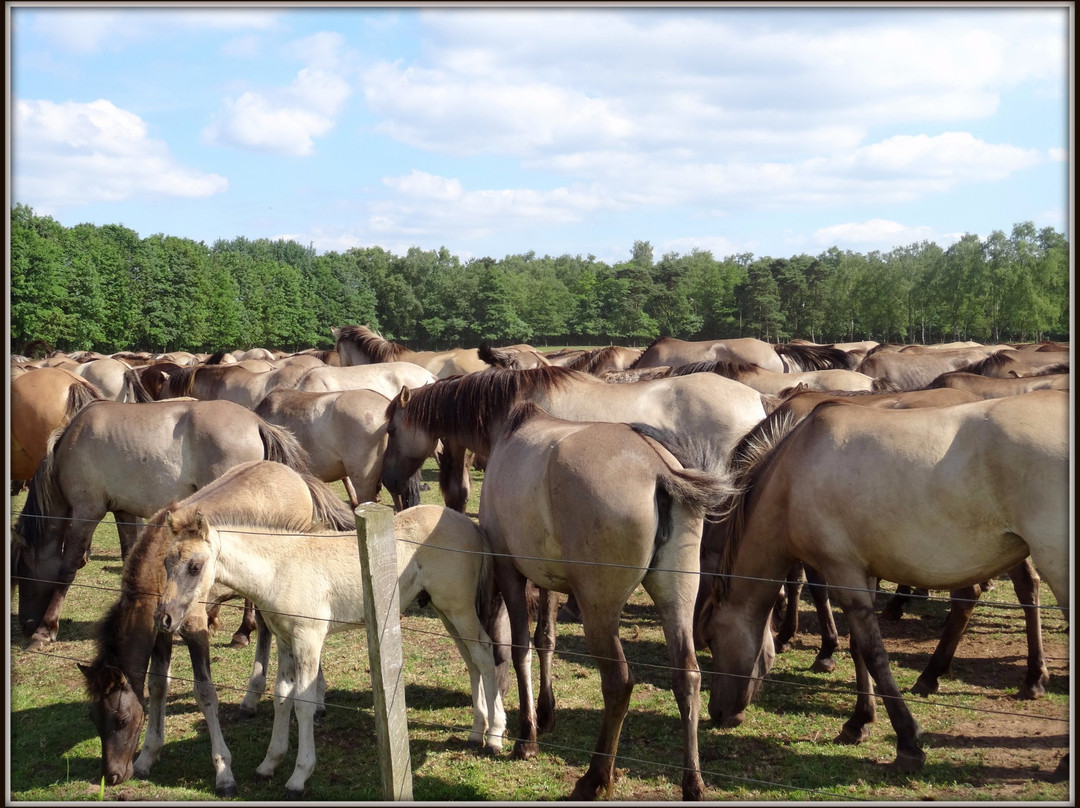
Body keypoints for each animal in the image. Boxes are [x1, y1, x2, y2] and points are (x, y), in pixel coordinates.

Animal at [11, 397, 313, 648]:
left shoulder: (87, 511)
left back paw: (241, 631)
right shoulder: (123, 511)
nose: (25, 624)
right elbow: (129, 560)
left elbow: (67, 568)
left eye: (21, 570)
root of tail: (258, 422)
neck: (71, 443)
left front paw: (45, 629)